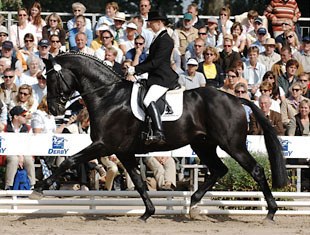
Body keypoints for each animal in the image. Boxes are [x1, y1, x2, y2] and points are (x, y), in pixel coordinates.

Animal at [31, 52, 288, 221]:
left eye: (52, 79)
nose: (53, 109)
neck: (108, 96)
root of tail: (236, 99)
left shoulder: (104, 145)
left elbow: (69, 160)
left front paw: (39, 188)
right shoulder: (123, 152)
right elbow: (138, 181)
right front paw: (148, 213)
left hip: (231, 144)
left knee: (255, 170)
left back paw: (271, 212)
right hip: (203, 145)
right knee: (219, 169)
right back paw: (193, 205)